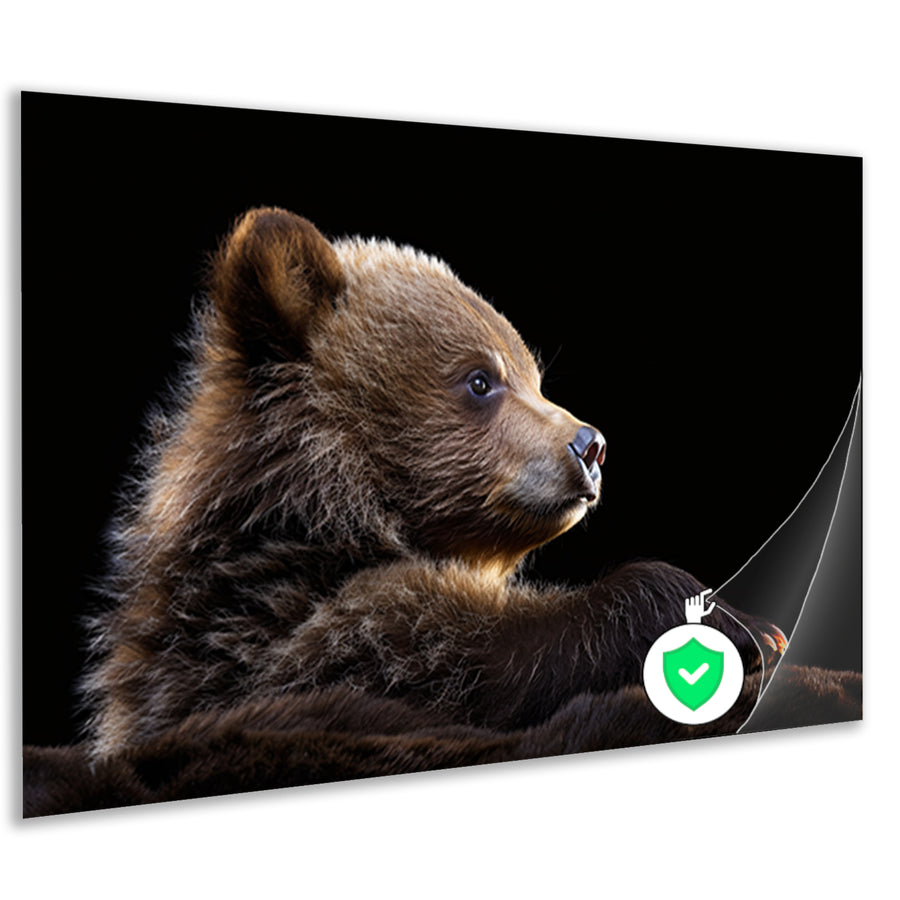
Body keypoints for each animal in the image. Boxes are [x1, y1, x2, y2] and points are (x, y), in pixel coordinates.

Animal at [82, 207, 785, 760]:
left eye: (534, 375)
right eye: (480, 379)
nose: (590, 445)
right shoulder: (268, 643)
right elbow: (451, 655)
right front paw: (735, 623)